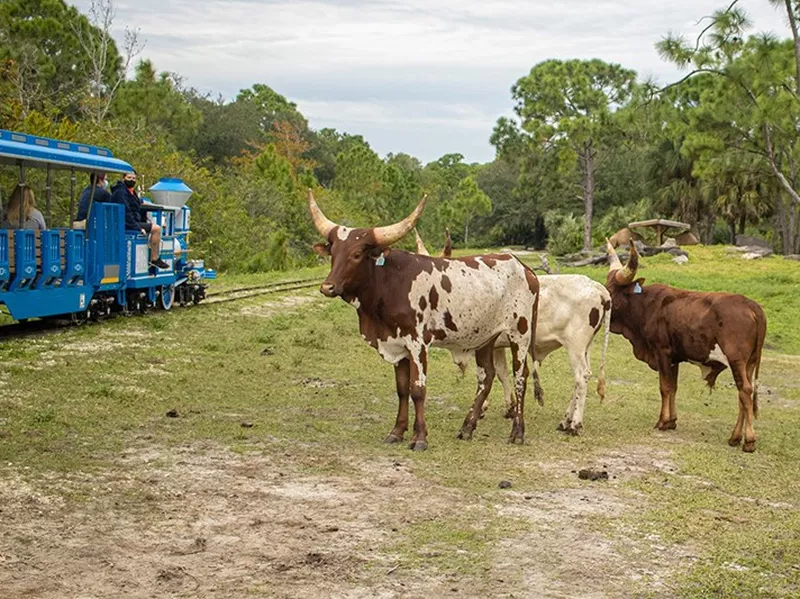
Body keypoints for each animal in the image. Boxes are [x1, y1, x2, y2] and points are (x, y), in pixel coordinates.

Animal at [310, 192, 540, 450]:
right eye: (333, 253)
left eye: (357, 254)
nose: (327, 287)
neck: (390, 282)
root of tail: (524, 268)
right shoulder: (396, 343)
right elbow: (401, 389)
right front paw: (397, 432)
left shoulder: (417, 343)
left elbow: (417, 389)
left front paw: (419, 437)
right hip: (485, 336)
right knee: (486, 377)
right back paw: (467, 427)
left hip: (519, 334)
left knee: (520, 375)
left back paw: (517, 432)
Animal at [608, 241, 768, 452]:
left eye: (611, 291)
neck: (645, 305)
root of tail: (751, 305)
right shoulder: (674, 358)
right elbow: (673, 387)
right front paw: (671, 421)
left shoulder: (662, 352)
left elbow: (664, 387)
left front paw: (662, 421)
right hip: (750, 362)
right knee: (743, 395)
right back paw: (735, 437)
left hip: (736, 360)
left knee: (746, 392)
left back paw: (748, 440)